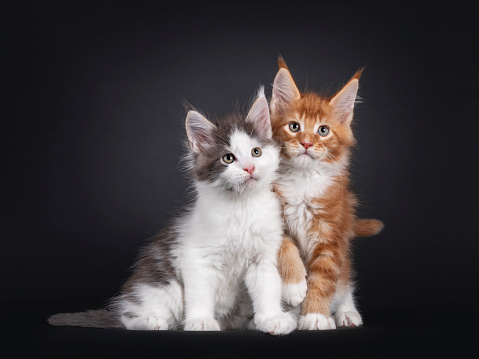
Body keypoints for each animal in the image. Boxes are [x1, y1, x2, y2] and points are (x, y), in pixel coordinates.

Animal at [272, 57, 384, 330]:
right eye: (294, 126)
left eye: (323, 130)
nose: (306, 143)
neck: (303, 180)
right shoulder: (273, 213)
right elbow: (285, 246)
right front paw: (294, 286)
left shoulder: (331, 235)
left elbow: (323, 280)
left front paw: (315, 315)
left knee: (345, 282)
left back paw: (347, 312)